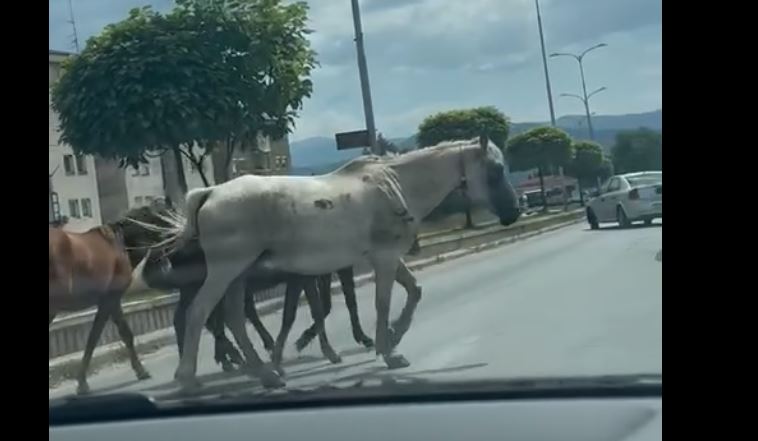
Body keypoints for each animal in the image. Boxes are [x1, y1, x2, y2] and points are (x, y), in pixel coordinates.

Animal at [154, 137, 524, 388]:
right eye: (495, 170)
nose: (514, 212)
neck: (395, 185)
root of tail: (210, 192)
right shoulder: (384, 259)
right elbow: (383, 302)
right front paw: (389, 349)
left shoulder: (384, 257)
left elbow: (414, 291)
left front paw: (392, 336)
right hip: (225, 270)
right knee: (200, 312)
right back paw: (189, 378)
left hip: (238, 274)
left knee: (233, 318)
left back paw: (265, 373)